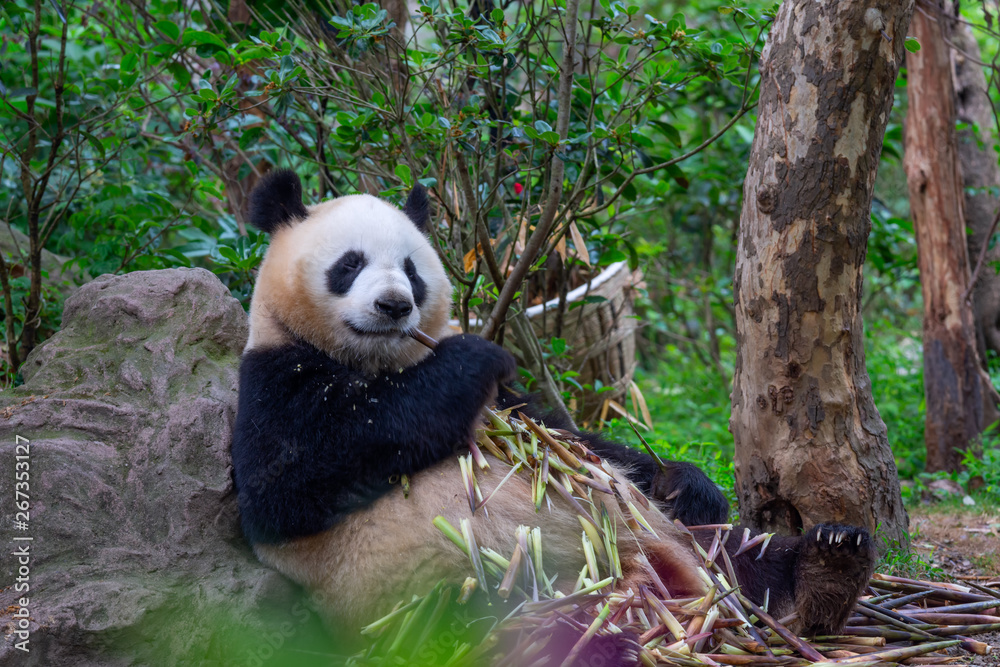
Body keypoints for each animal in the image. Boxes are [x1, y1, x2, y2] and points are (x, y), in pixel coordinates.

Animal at [230, 169, 877, 660]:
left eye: (412, 268)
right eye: (350, 264)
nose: (394, 305)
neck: (382, 363)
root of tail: (670, 594)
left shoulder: (513, 406)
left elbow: (577, 441)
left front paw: (689, 484)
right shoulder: (273, 380)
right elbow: (293, 480)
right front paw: (469, 359)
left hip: (679, 549)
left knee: (741, 553)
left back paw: (828, 564)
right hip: (472, 594)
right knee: (534, 629)